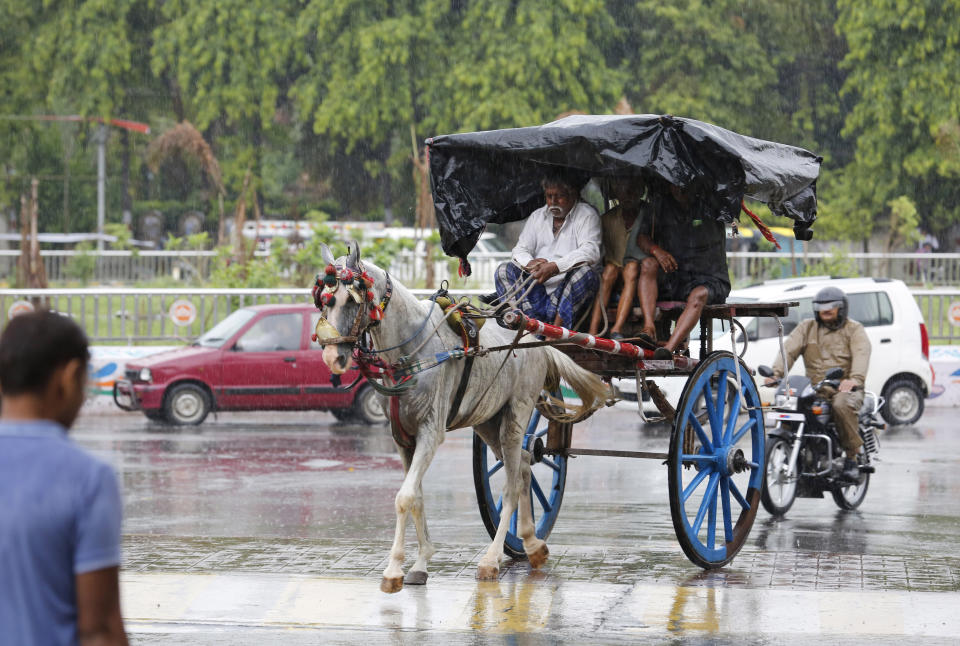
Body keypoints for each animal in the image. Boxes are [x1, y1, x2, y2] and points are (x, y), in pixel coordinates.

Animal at [318, 244, 612, 596]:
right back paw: (531, 542)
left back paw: (491, 559)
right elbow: (416, 496)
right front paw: (420, 563)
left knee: (513, 483)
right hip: (488, 422)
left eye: (351, 301)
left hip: (517, 414)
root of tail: (537, 338)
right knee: (524, 465)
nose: (332, 357)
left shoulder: (431, 432)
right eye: (325, 301)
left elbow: (404, 497)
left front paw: (393, 570)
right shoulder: (403, 438)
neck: (414, 350)